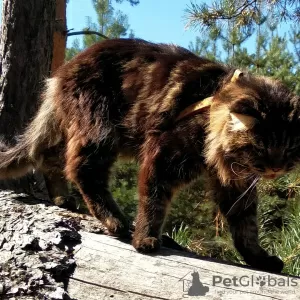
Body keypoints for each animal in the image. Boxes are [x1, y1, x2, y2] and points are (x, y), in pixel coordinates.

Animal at [1, 38, 298, 274]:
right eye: (261, 148)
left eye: (289, 150)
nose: (276, 168)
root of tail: (61, 73)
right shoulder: (163, 157)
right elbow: (153, 202)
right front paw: (145, 238)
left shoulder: (235, 184)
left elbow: (246, 226)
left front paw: (258, 259)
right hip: (98, 130)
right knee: (81, 170)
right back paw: (116, 221)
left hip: (74, 131)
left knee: (48, 158)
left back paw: (62, 198)